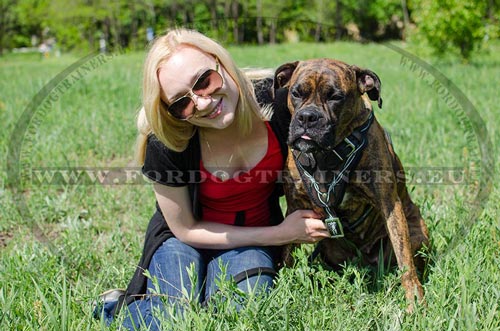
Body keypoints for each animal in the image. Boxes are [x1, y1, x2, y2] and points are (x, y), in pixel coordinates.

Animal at [274, 59, 430, 312]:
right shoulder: (295, 206)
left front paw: (414, 300)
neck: (327, 155)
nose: (307, 117)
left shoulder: (389, 204)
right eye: (296, 93)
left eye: (335, 97)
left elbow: (404, 258)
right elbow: (287, 249)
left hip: (418, 234)